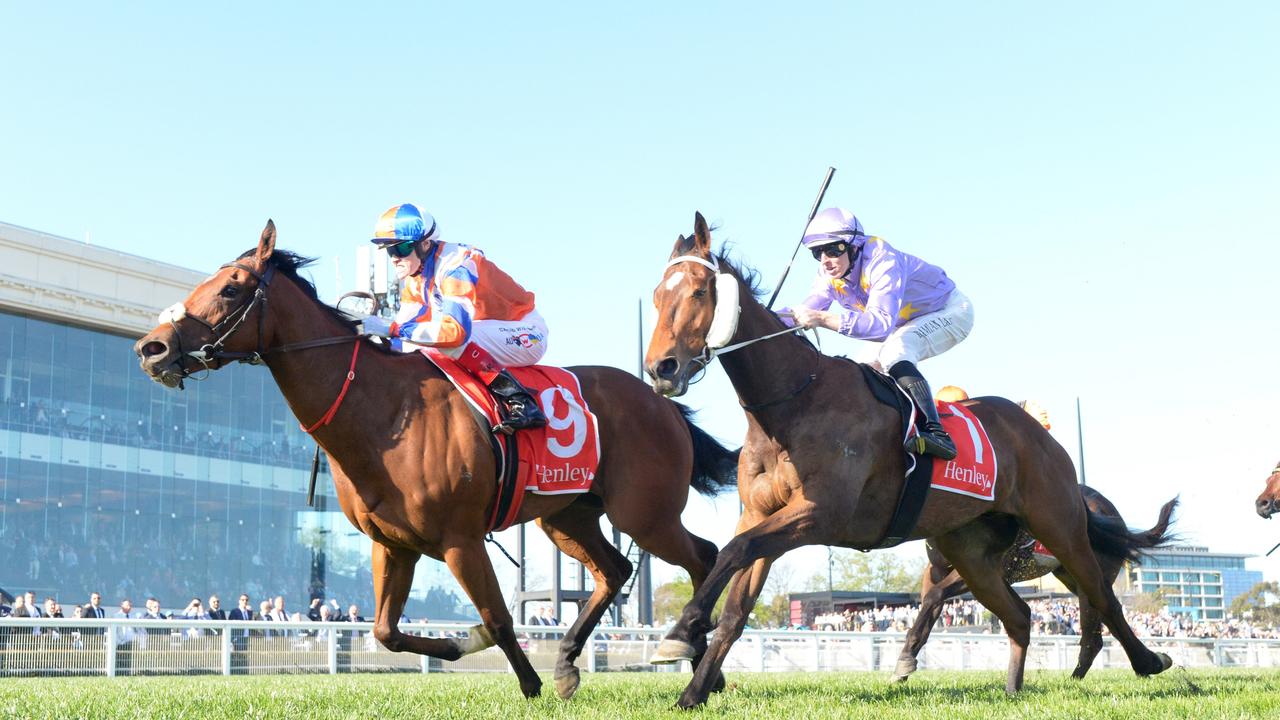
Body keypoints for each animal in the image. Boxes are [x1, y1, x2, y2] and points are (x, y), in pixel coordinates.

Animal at [133, 221, 737, 696]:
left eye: (231, 288)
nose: (151, 348)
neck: (379, 413)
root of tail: (663, 402)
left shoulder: (459, 539)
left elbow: (498, 618)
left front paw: (528, 683)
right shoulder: (393, 544)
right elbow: (386, 631)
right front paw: (459, 644)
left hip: (644, 513)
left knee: (704, 556)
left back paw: (693, 659)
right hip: (567, 514)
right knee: (616, 570)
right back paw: (573, 663)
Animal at [645, 212, 1172, 707]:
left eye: (698, 291)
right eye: (654, 296)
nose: (660, 368)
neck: (794, 402)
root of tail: (1041, 438)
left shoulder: (820, 514)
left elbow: (733, 551)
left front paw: (680, 631)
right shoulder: (762, 514)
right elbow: (735, 600)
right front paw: (691, 688)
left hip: (1059, 527)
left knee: (1102, 598)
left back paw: (1150, 661)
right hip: (971, 551)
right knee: (1021, 615)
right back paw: (1013, 689)